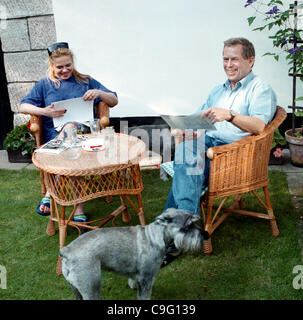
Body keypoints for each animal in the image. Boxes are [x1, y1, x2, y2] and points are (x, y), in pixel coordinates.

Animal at [60, 208, 210, 300]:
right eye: (188, 226)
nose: (206, 235)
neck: (155, 237)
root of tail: (67, 251)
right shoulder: (146, 279)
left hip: (76, 289)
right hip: (92, 288)